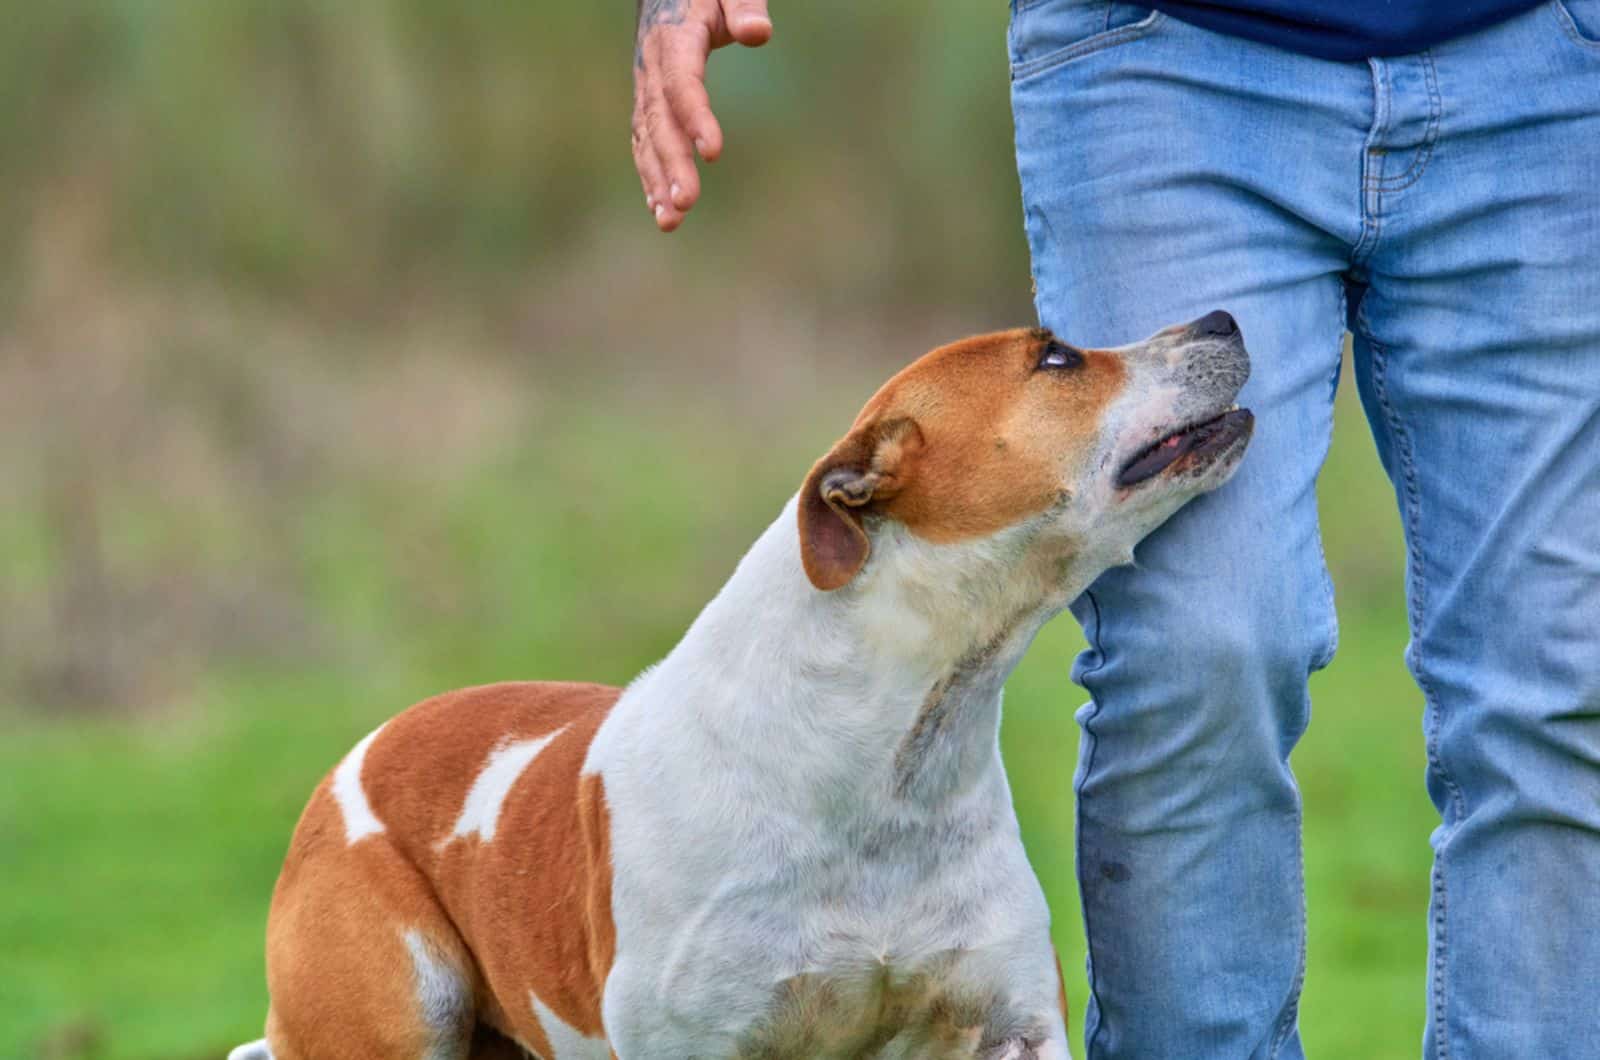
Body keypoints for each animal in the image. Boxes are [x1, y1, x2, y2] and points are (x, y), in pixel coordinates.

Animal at [228, 315, 1248, 1060]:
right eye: (1055, 357)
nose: (1223, 317)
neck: (885, 759)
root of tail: (353, 759)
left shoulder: (1010, 1023)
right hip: (394, 1014)